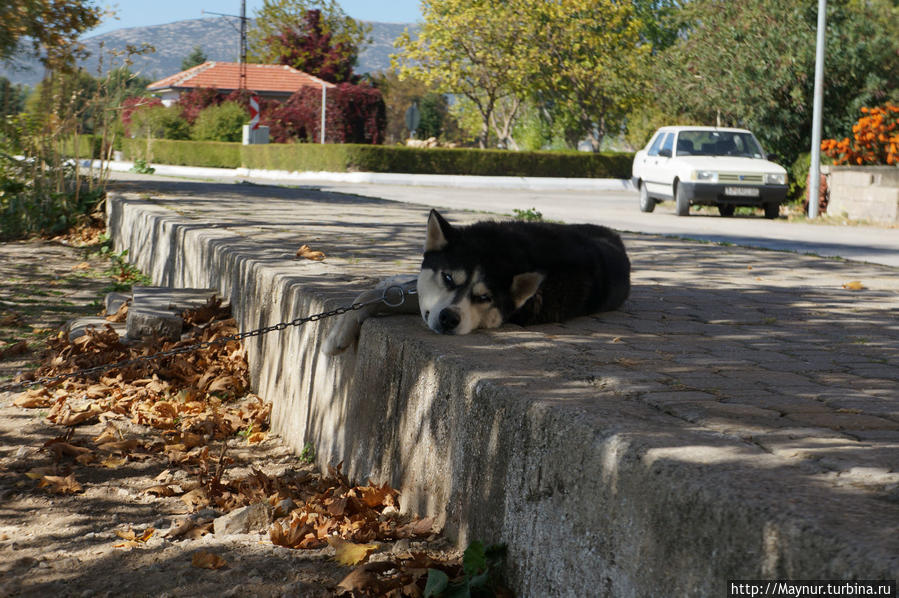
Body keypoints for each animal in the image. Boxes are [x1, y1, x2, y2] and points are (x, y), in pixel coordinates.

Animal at [320, 210, 628, 356]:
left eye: (484, 298)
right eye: (447, 277)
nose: (449, 319)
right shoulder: (429, 300)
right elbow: (368, 296)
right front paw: (337, 336)